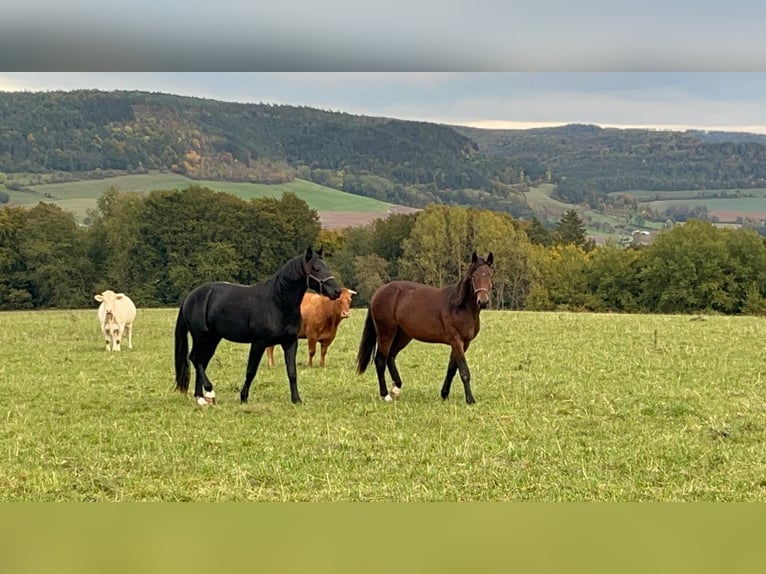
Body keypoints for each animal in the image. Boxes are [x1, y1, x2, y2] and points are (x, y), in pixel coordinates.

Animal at [176, 246, 344, 404]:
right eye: (316, 268)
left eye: (326, 266)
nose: (337, 291)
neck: (277, 302)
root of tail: (191, 296)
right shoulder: (259, 343)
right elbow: (251, 371)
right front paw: (243, 398)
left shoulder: (290, 342)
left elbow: (292, 372)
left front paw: (296, 399)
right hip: (201, 337)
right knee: (195, 358)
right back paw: (208, 392)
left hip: (213, 338)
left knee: (202, 361)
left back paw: (201, 397)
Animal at [356, 252, 496, 404]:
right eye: (473, 277)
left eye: (490, 275)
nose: (483, 301)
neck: (460, 307)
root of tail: (378, 293)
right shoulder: (456, 341)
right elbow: (464, 371)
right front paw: (470, 399)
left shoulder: (464, 343)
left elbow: (452, 368)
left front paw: (444, 394)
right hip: (386, 333)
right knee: (380, 360)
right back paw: (385, 395)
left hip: (403, 335)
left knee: (390, 357)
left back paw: (396, 388)